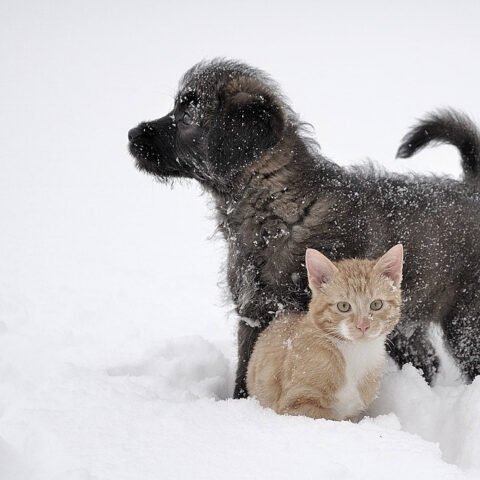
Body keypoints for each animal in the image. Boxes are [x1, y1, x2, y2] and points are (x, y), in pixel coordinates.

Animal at [127, 60, 480, 398]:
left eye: (187, 114)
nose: (131, 134)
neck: (277, 212)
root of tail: (471, 188)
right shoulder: (253, 314)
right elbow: (246, 371)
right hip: (405, 324)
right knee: (426, 362)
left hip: (465, 322)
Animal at [246, 246, 404, 422]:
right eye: (343, 306)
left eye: (376, 304)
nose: (363, 325)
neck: (355, 351)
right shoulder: (294, 405)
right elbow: (330, 419)